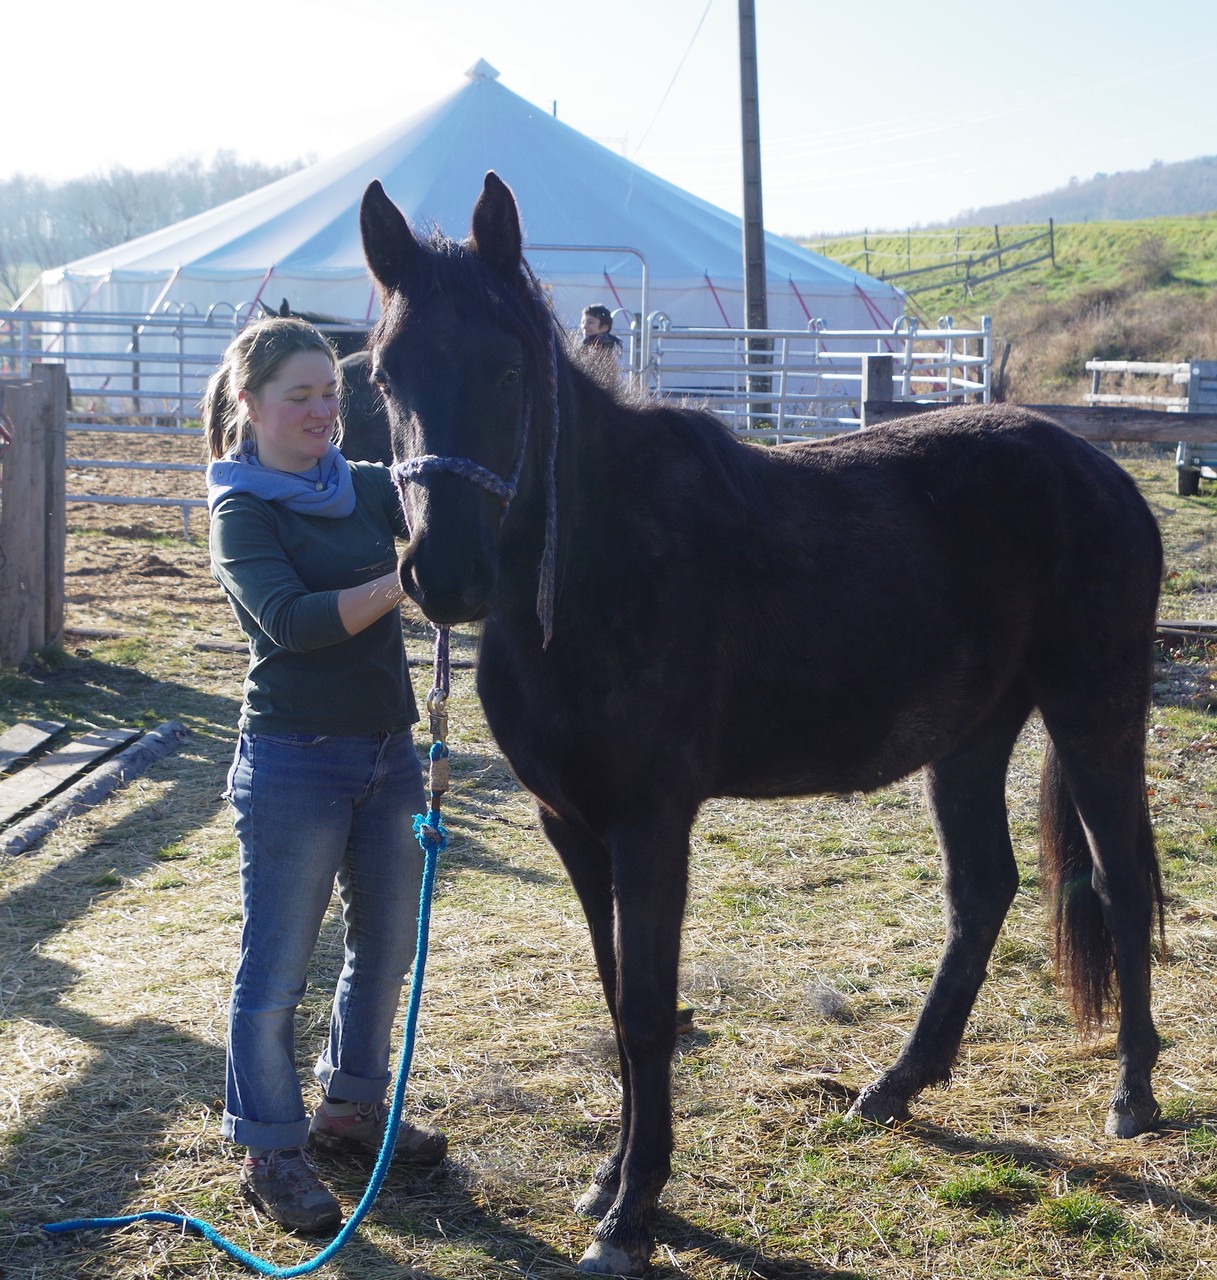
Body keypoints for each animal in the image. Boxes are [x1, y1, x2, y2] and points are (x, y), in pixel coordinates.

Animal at [360, 175, 1172, 1274]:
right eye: (384, 373)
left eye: (505, 366)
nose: (442, 575)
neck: (599, 571)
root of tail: (1104, 474)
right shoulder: (569, 825)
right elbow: (617, 995)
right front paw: (611, 1181)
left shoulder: (651, 823)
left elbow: (647, 1009)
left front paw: (632, 1213)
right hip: (969, 738)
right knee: (982, 891)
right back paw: (896, 1083)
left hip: (1094, 710)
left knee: (1119, 883)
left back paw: (1131, 1092)